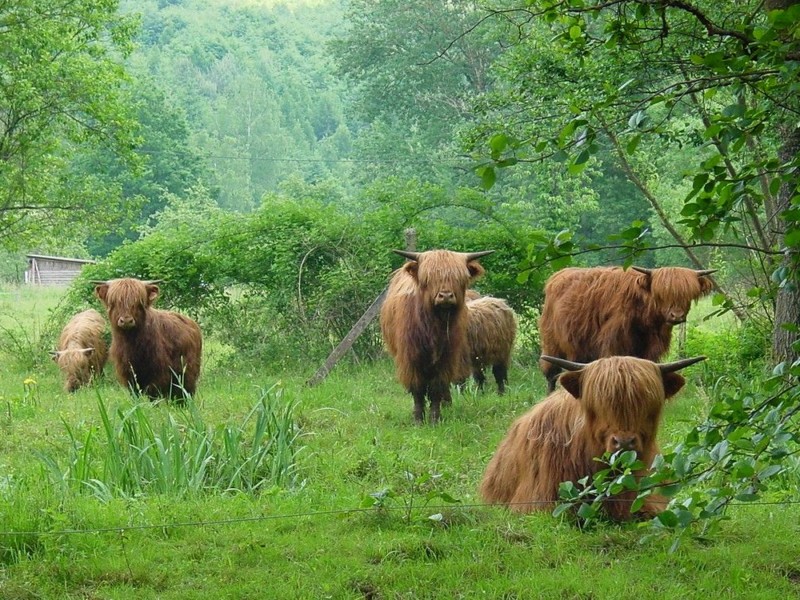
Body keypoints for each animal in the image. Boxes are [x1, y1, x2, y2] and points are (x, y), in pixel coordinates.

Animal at [378, 248, 490, 422]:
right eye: (428, 279)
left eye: (459, 278)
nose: (446, 296)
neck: (434, 326)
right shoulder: (410, 358)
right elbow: (417, 389)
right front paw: (418, 419)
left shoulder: (447, 357)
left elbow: (437, 387)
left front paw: (434, 418)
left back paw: (447, 403)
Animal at [536, 266, 712, 390]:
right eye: (661, 294)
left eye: (687, 295)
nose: (677, 316)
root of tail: (557, 276)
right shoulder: (613, 343)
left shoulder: (650, 350)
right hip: (551, 343)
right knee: (551, 374)